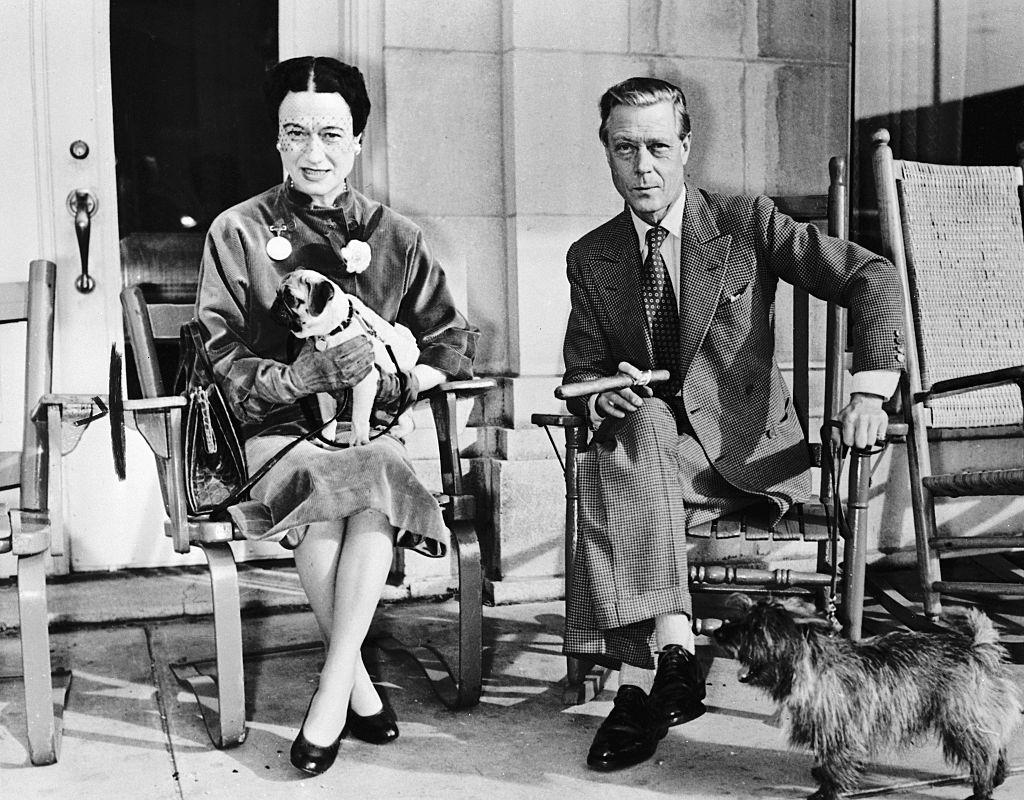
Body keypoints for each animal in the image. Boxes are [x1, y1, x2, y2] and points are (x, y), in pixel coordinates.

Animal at [270, 268, 421, 442]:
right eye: (277, 293)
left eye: (290, 298)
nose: (275, 304)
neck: (333, 330)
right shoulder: (324, 384)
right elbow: (328, 417)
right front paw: (326, 437)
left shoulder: (365, 383)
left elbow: (359, 419)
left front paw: (358, 441)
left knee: (409, 422)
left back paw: (396, 431)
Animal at [716, 594, 1019, 794]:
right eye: (743, 617)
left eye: (757, 627)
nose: (719, 633)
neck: (810, 667)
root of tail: (977, 649)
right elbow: (825, 760)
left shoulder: (840, 730)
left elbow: (834, 764)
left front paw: (826, 792)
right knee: (996, 745)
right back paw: (998, 778)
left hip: (961, 722)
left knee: (985, 751)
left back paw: (983, 788)